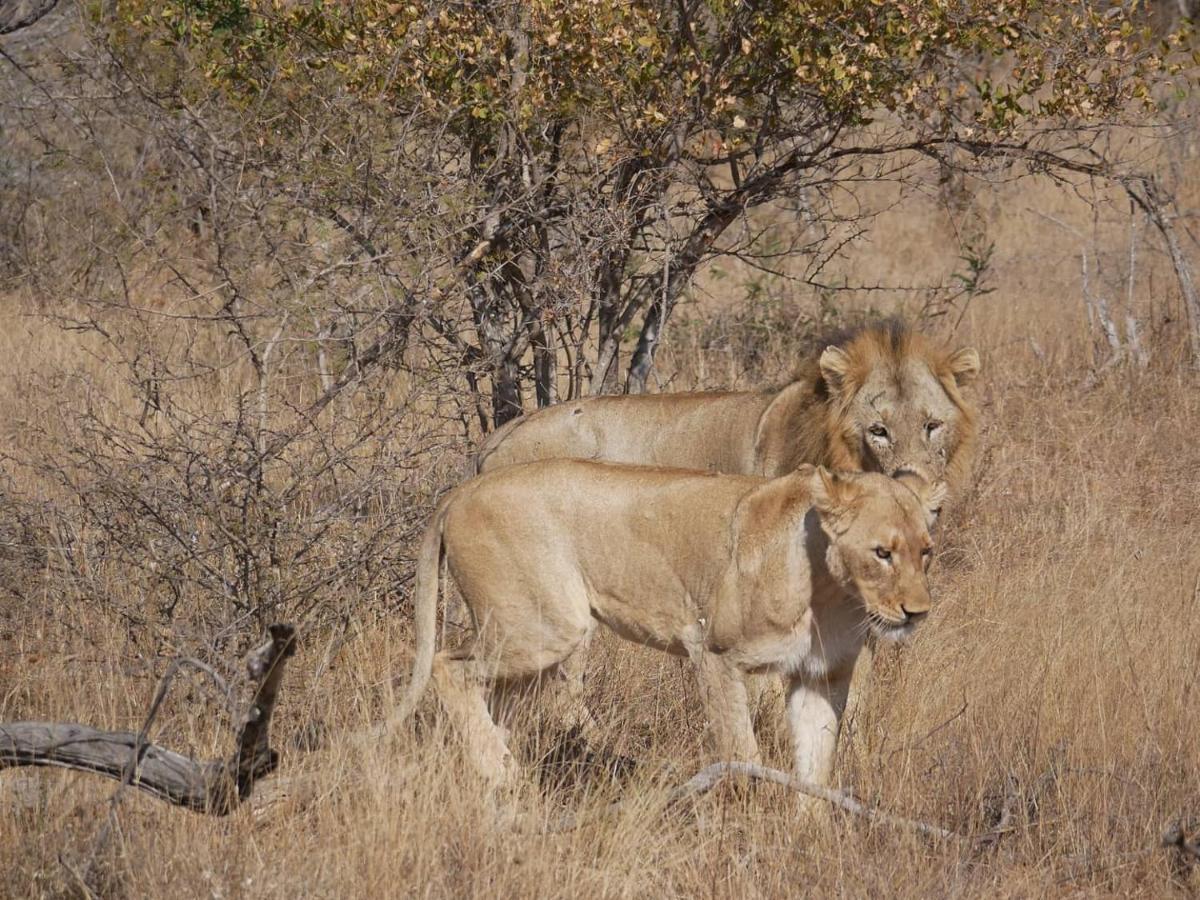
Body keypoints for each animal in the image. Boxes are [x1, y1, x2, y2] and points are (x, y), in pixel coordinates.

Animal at [398, 460, 940, 792]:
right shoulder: (716, 653)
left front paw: (809, 835)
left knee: (490, 700)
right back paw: (502, 774)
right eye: (882, 553)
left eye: (926, 552)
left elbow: (816, 764)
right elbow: (742, 752)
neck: (830, 593)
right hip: (543, 628)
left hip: (533, 645)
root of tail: (463, 490)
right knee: (448, 666)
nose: (918, 612)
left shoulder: (819, 675)